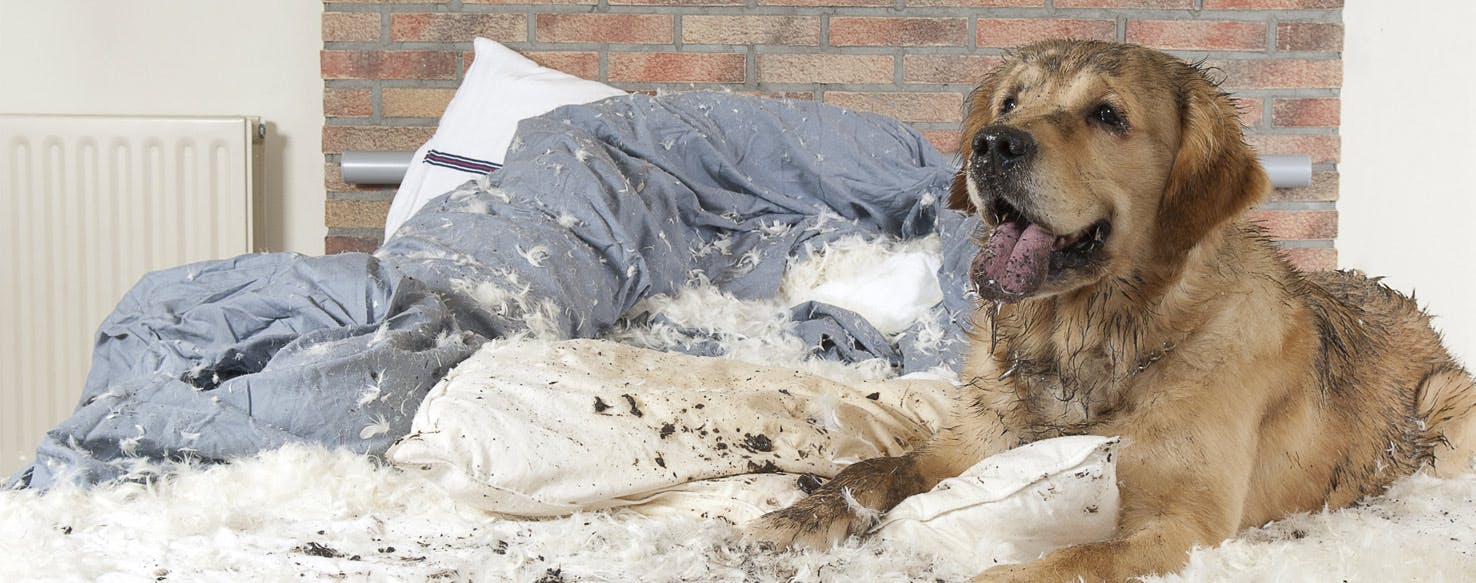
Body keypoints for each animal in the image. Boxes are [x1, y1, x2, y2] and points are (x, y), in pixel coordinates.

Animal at [749, 38, 1476, 581]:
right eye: (1011, 101)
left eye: (1106, 115)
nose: (990, 143)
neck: (1091, 335)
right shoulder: (966, 451)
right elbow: (873, 467)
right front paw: (794, 519)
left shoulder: (1181, 524)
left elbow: (1063, 560)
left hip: (1447, 404)